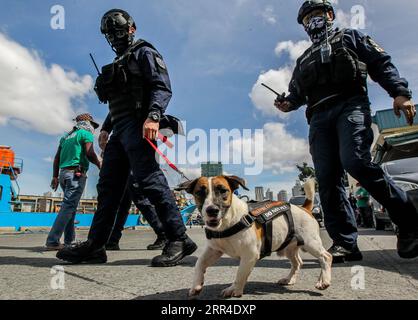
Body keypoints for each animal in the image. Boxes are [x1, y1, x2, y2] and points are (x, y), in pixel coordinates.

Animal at [177, 175, 334, 298]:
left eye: (223, 190)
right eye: (199, 192)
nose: (212, 210)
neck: (228, 222)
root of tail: (304, 208)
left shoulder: (250, 255)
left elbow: (240, 273)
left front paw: (234, 289)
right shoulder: (214, 250)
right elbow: (199, 263)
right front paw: (196, 285)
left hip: (310, 242)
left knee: (325, 257)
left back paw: (323, 281)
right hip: (289, 247)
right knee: (297, 262)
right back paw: (290, 279)